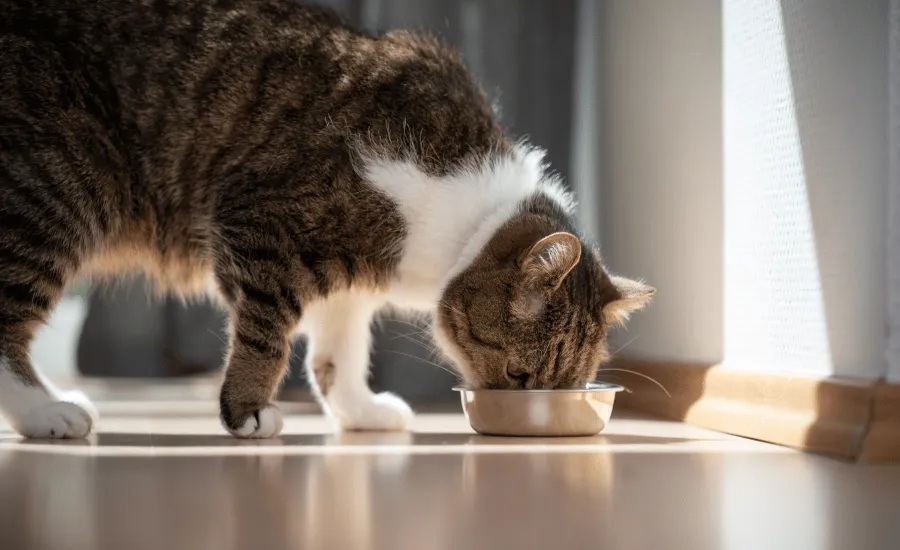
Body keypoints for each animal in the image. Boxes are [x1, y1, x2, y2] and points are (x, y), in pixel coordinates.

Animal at [0, 0, 652, 440]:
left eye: (562, 387)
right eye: (518, 373)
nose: (523, 408)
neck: (465, 212)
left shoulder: (349, 281)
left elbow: (339, 353)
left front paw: (361, 413)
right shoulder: (258, 227)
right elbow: (267, 337)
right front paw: (247, 410)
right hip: (60, 189)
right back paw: (45, 412)